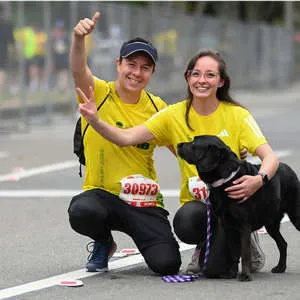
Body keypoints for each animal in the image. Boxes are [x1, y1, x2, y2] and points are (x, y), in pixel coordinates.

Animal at [177, 135, 300, 282]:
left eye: (194, 142)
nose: (178, 145)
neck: (226, 180)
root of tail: (289, 168)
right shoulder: (228, 226)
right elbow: (233, 253)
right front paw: (231, 273)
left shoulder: (244, 226)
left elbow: (245, 253)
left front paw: (245, 275)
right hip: (271, 223)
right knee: (283, 244)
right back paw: (280, 267)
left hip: (295, 215)